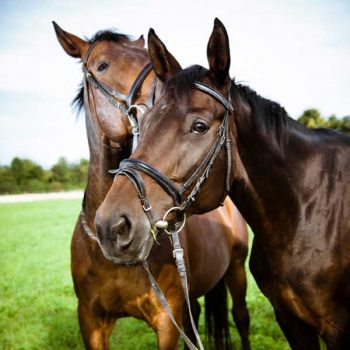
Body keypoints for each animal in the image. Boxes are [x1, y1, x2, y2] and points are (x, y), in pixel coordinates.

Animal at [53, 22, 250, 350]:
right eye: (102, 65)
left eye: (147, 56)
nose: (114, 228)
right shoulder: (91, 322)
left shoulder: (166, 322)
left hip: (236, 270)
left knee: (241, 317)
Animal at [95, 19, 350, 350]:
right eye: (145, 122)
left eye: (199, 126)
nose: (110, 226)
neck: (303, 213)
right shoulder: (292, 323)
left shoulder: (337, 329)